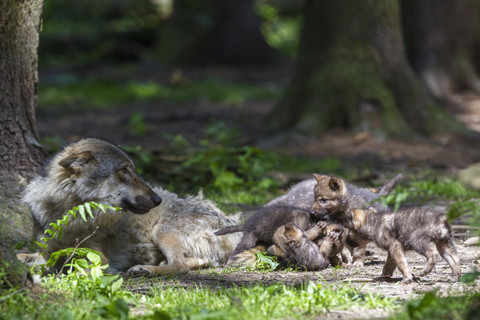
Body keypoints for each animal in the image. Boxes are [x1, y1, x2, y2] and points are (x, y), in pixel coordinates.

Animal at [21, 138, 242, 276]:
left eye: (132, 170)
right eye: (124, 171)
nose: (157, 200)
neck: (72, 218)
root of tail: (231, 219)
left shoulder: (98, 254)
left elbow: (86, 265)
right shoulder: (46, 252)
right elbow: (30, 258)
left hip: (162, 231)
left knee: (180, 266)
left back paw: (146, 269)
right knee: (197, 262)